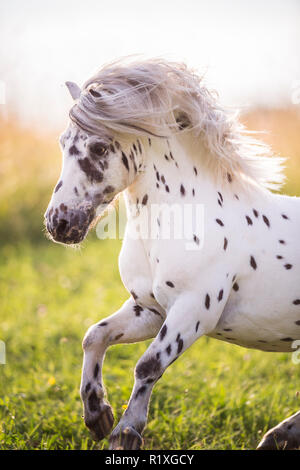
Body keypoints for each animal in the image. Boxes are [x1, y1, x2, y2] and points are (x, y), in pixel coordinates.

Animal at [44, 58, 300, 452]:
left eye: (100, 148)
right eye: (62, 143)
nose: (59, 223)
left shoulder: (193, 312)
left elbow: (147, 365)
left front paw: (125, 432)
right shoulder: (150, 310)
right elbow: (94, 336)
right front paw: (97, 415)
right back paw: (278, 437)